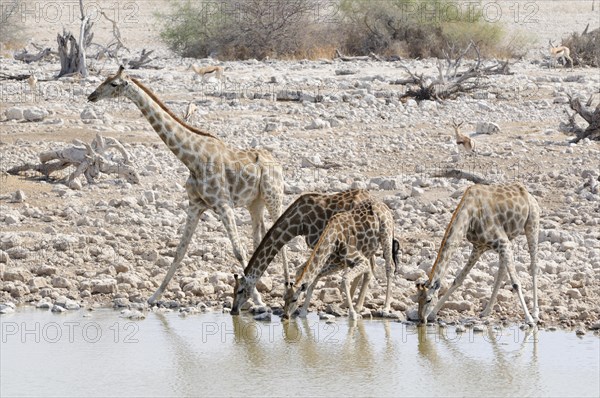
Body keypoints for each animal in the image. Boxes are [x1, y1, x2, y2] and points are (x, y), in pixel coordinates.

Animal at [86, 66, 288, 304]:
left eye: (114, 84)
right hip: (254, 203)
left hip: (273, 196)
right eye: (105, 79)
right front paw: (154, 296)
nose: (91, 96)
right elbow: (180, 251)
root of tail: (277, 163)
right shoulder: (195, 205)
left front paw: (256, 299)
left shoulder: (223, 204)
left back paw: (286, 287)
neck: (193, 159)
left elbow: (238, 250)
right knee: (261, 239)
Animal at [231, 188, 376, 316]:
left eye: (240, 291)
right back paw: (350, 304)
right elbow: (302, 273)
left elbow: (306, 273)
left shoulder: (319, 243)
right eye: (233, 290)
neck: (298, 223)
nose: (233, 310)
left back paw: (356, 306)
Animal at [414, 182, 540, 324]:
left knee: (534, 266)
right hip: (509, 238)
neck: (470, 215)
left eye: (428, 300)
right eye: (417, 299)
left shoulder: (502, 242)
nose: (421, 320)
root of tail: (528, 195)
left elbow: (516, 282)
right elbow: (458, 279)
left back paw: (535, 313)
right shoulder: (479, 247)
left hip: (532, 224)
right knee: (501, 271)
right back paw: (486, 311)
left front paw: (529, 319)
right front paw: (432, 314)